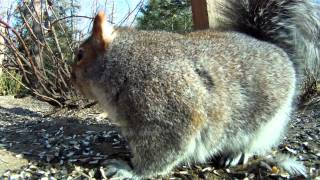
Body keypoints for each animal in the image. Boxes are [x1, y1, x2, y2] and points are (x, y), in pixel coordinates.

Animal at [71, 0, 318, 179]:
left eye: (80, 54)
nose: (72, 78)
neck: (124, 63)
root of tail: (273, 48)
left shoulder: (165, 108)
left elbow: (162, 151)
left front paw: (130, 171)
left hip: (266, 122)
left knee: (254, 142)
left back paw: (237, 153)